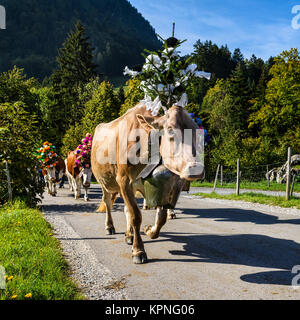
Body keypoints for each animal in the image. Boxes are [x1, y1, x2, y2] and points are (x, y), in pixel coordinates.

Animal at [91, 104, 204, 264]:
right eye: (170, 129)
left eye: (196, 130)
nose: (196, 168)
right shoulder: (124, 180)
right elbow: (136, 216)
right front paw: (138, 251)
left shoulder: (164, 187)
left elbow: (161, 218)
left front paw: (148, 230)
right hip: (105, 182)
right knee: (107, 202)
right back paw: (109, 226)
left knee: (126, 209)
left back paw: (129, 235)